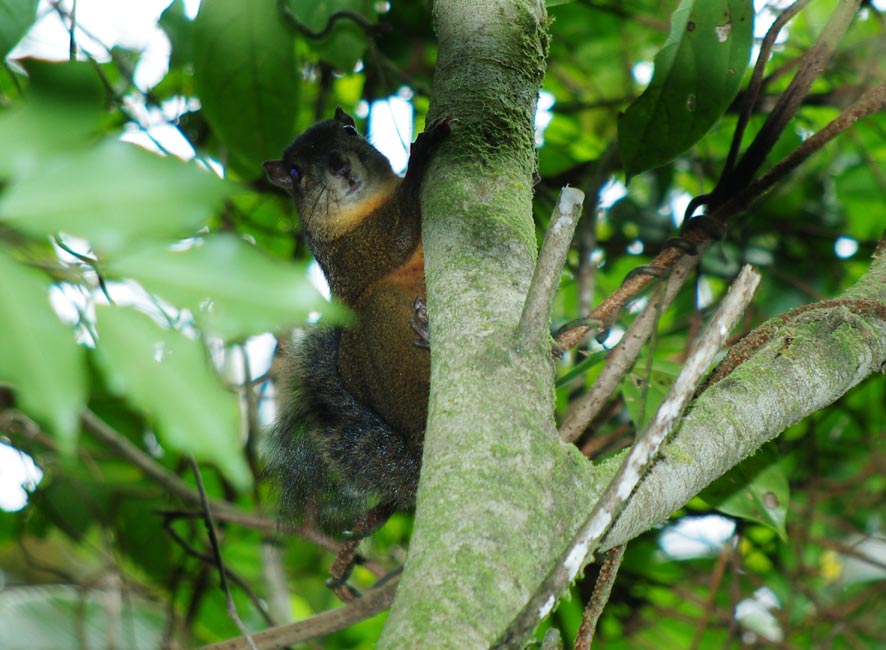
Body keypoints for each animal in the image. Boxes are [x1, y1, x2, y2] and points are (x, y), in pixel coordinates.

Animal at [260, 107, 448, 596]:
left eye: (348, 131)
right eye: (295, 172)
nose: (338, 164)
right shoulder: (351, 254)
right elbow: (394, 241)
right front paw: (420, 156)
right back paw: (425, 332)